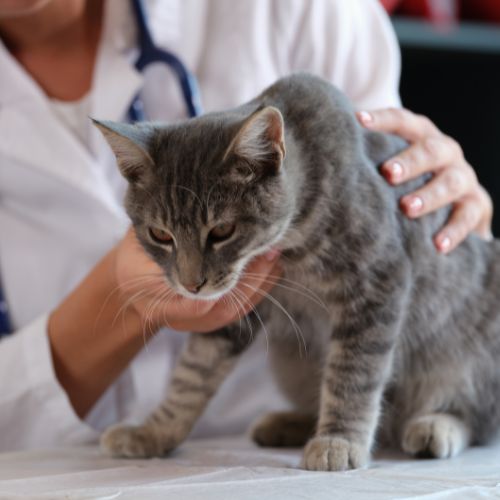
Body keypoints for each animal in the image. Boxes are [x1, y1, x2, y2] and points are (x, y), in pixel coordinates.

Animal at [94, 72, 500, 470]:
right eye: (160, 235)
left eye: (222, 231)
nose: (191, 285)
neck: (293, 243)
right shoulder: (236, 309)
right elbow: (192, 375)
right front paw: (153, 432)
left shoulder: (378, 280)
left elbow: (353, 373)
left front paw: (339, 440)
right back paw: (289, 423)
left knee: (478, 417)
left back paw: (436, 426)